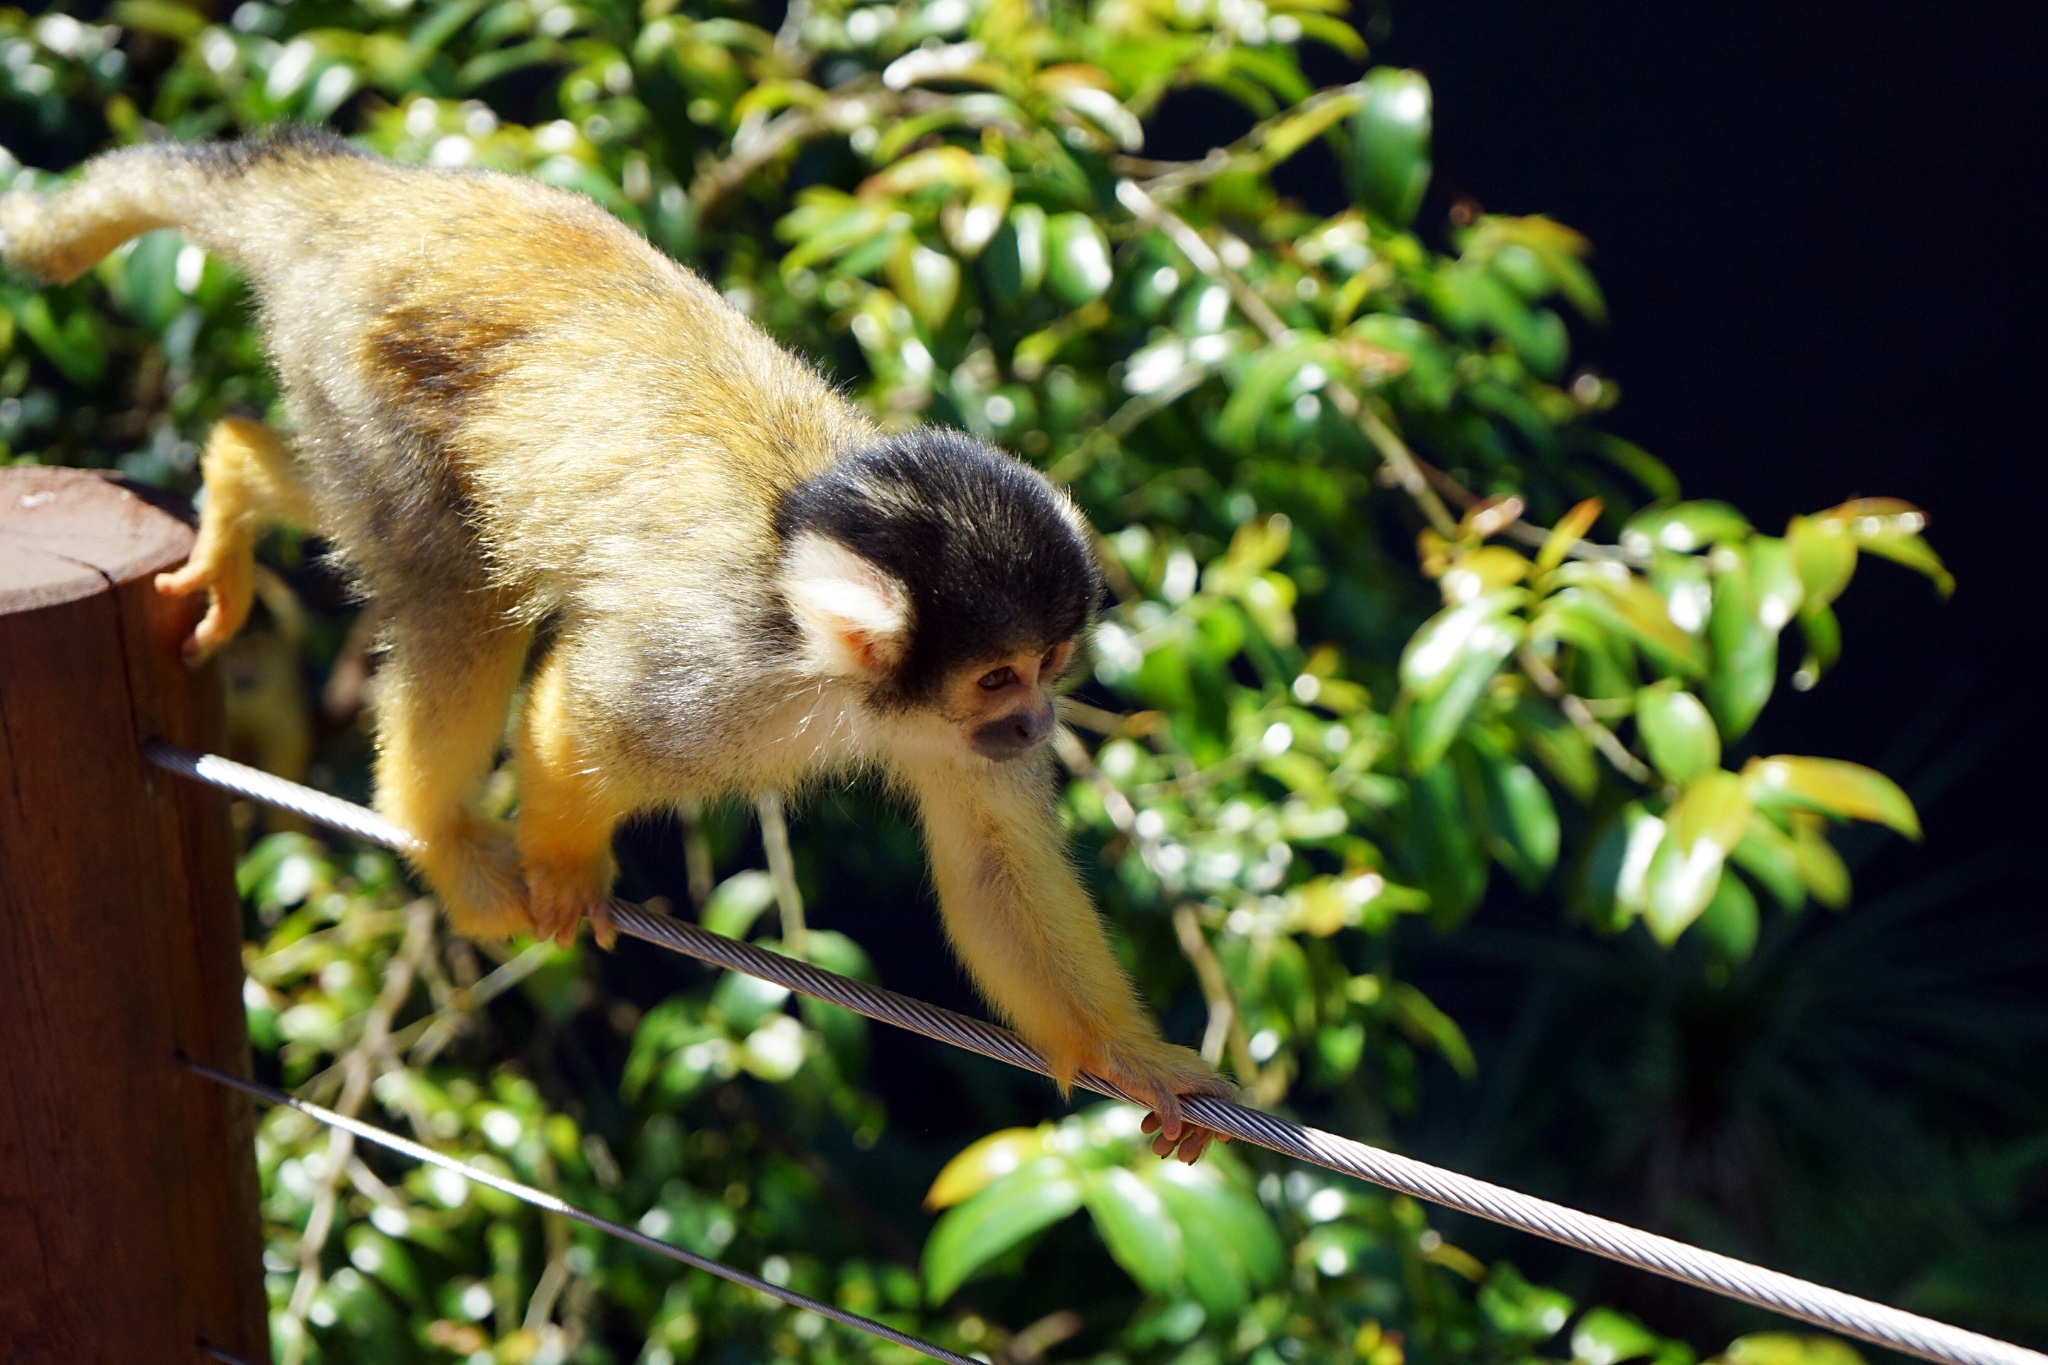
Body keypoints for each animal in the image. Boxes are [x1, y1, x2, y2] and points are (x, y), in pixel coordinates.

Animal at [0, 125, 1220, 1154]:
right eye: (999, 675)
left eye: (1049, 672)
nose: (1035, 724)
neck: (828, 657)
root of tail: (374, 195)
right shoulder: (719, 676)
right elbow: (582, 711)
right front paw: (564, 864)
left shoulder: (941, 737)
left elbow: (993, 865)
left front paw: (1134, 1058)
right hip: (359, 365)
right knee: (453, 586)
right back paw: (436, 826)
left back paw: (242, 475)